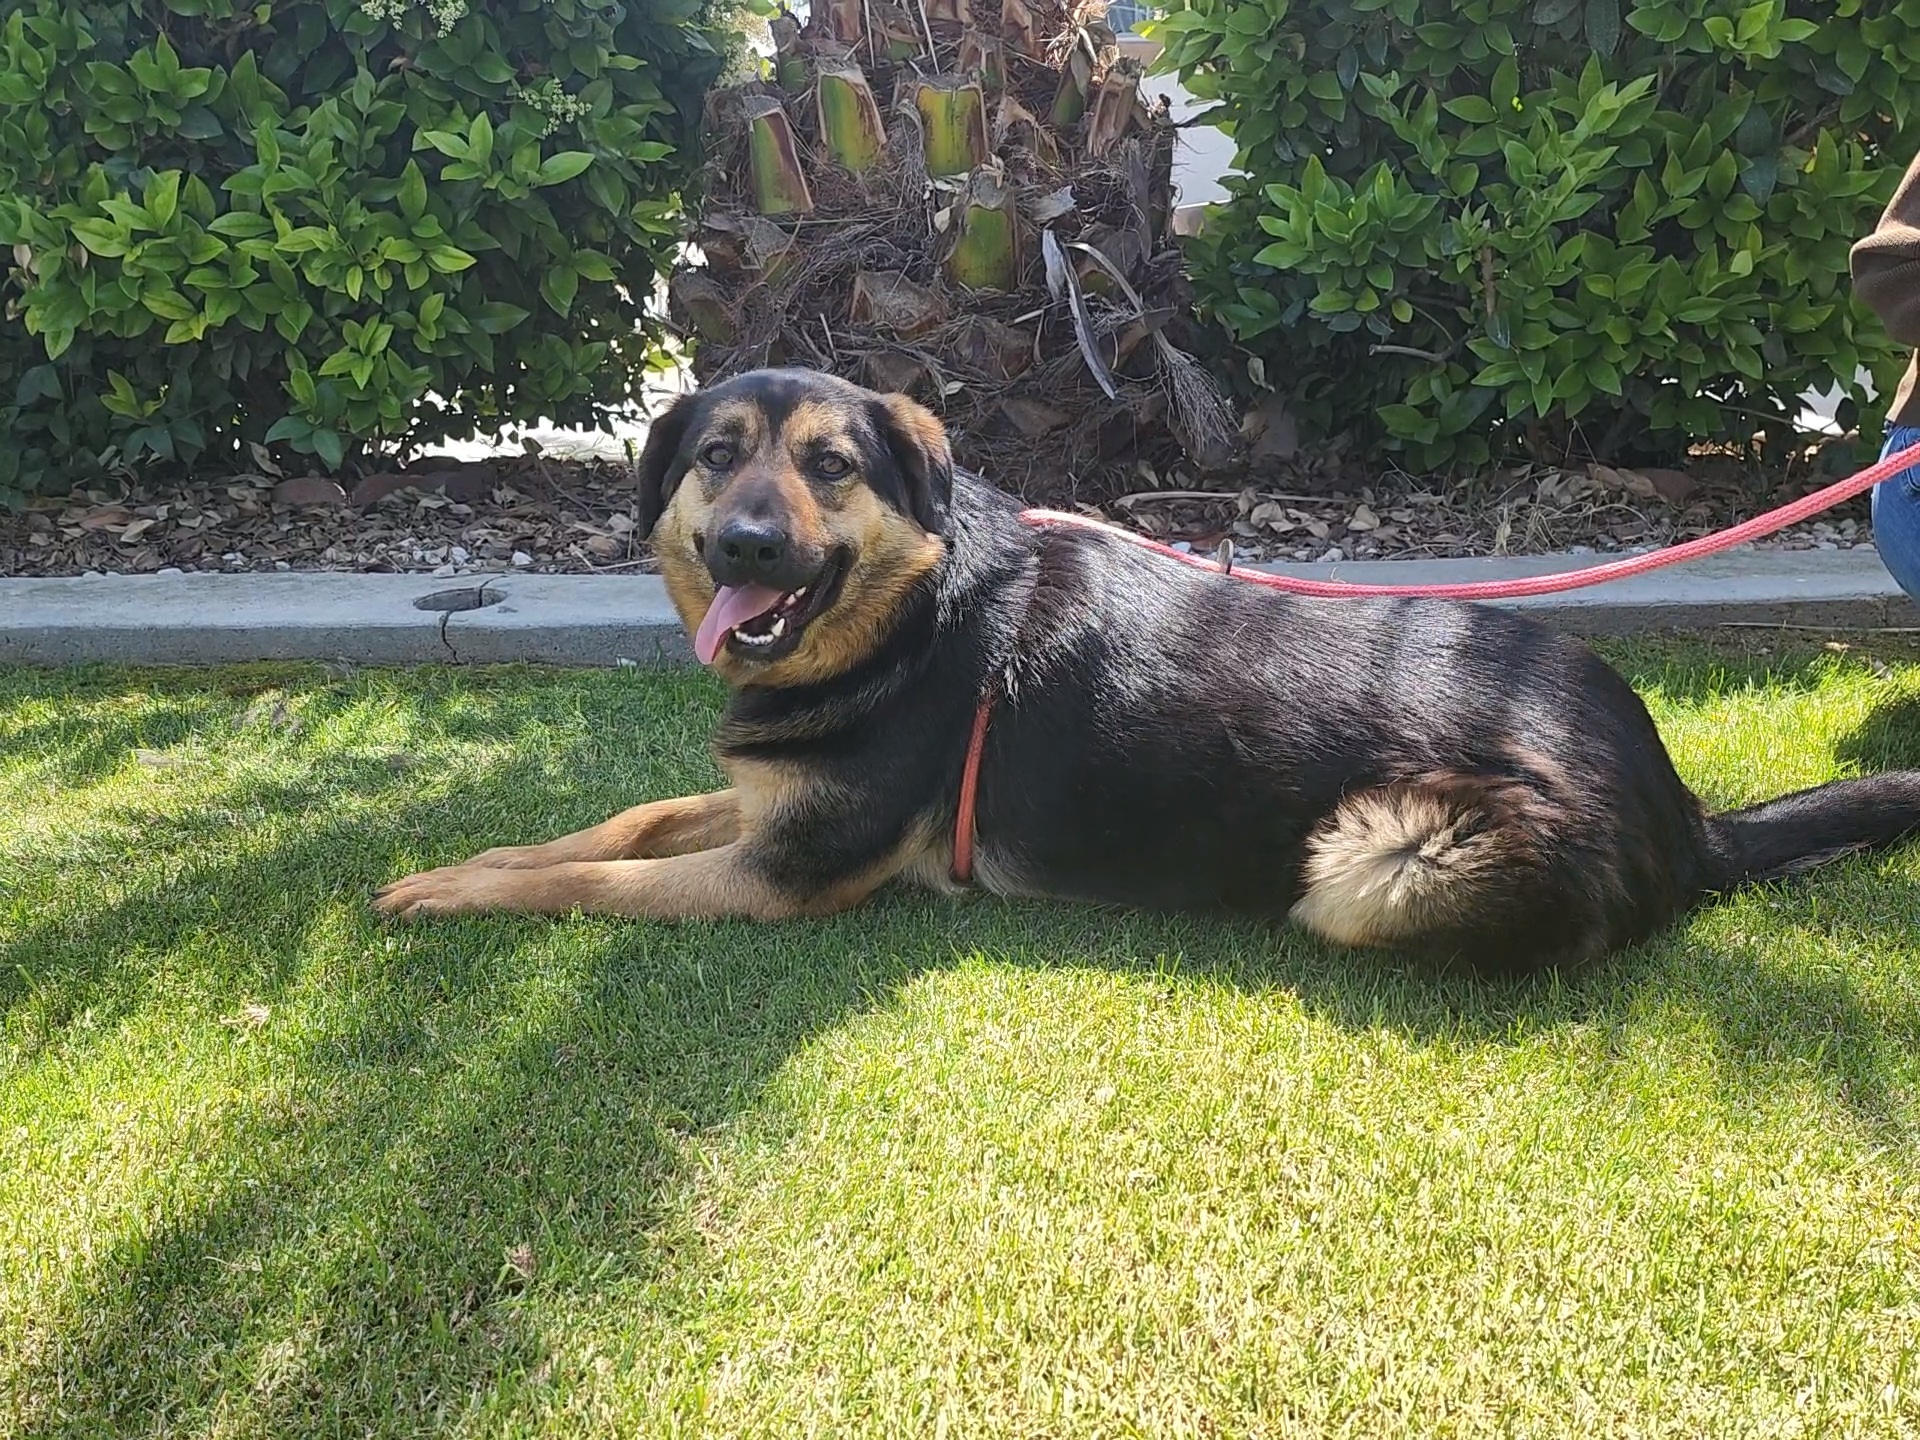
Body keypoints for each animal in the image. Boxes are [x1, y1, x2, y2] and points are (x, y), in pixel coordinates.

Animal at [374, 372, 1920, 983]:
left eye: (832, 466)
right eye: (714, 458)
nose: (750, 544)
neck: (913, 616)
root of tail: (1678, 805)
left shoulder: (787, 873)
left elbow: (596, 881)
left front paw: (461, 894)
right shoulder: (767, 808)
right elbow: (618, 825)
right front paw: (462, 860)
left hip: (1368, 857)